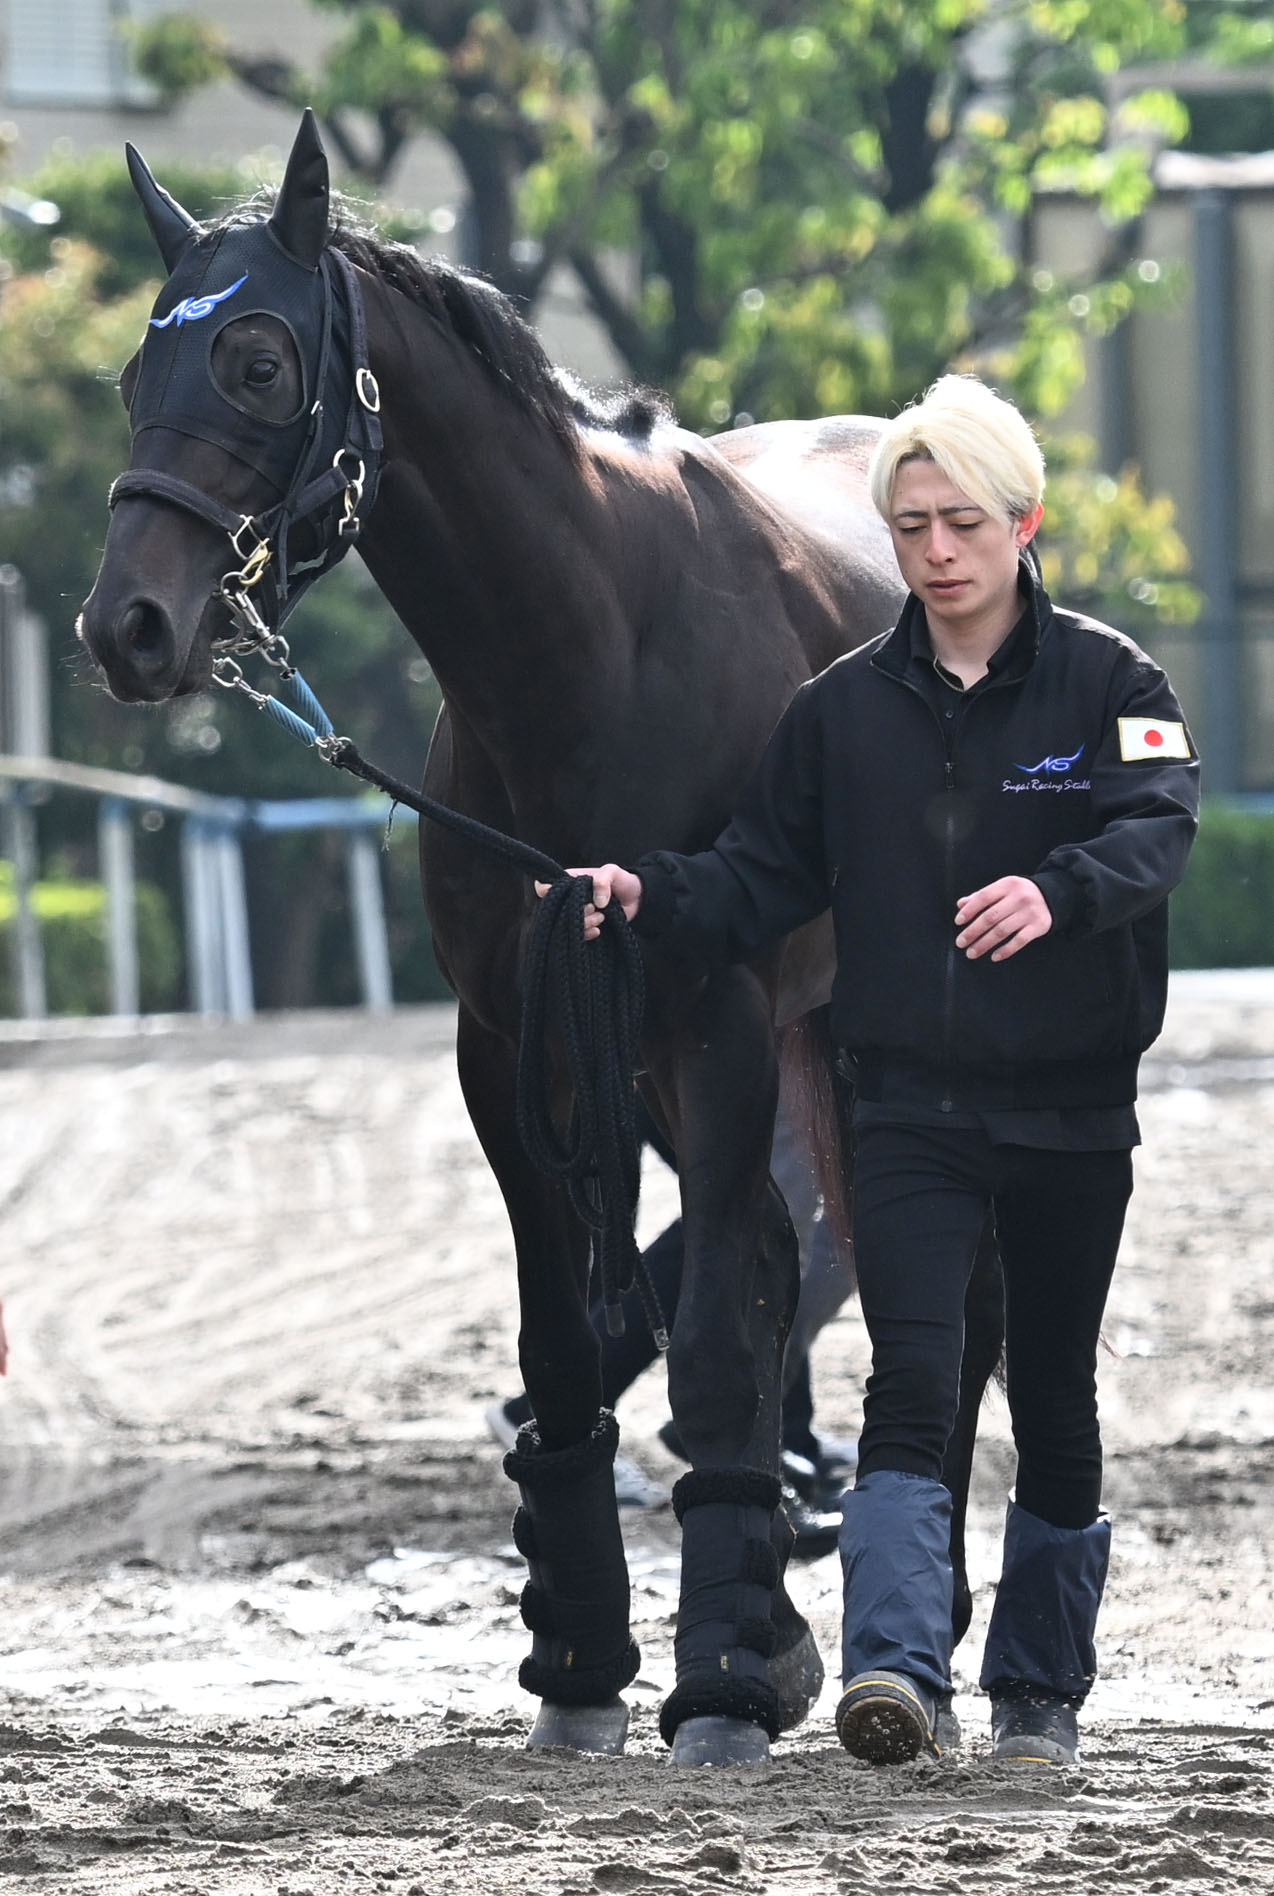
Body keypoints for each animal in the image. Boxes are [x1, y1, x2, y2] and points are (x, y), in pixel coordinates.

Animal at [77, 110, 1002, 1767]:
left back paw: (921, 1618)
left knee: (938, 1295)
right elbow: (571, 1342)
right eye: (133, 371)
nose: (129, 625)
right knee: (789, 1258)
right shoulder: (517, 1041)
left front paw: (716, 1685)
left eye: (256, 362)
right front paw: (587, 1664)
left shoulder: (708, 1015)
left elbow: (710, 1338)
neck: (598, 650)